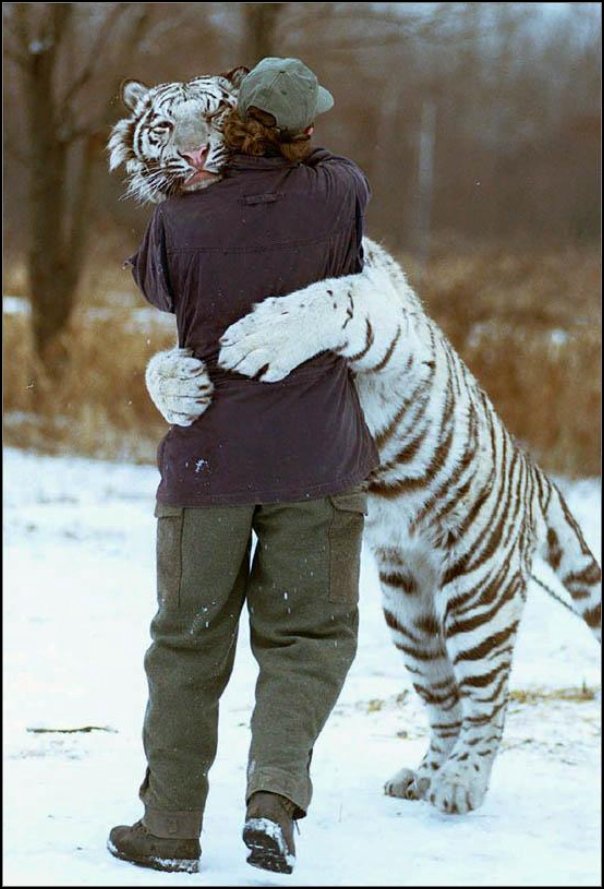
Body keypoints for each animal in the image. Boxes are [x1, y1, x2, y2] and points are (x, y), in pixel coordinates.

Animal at [108, 74, 600, 812]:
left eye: (217, 113)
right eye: (164, 126)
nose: (193, 156)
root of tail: (538, 478)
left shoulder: (384, 316)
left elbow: (331, 299)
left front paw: (259, 338)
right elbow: (155, 363)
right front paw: (182, 386)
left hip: (476, 594)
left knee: (488, 701)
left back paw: (461, 782)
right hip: (409, 605)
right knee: (445, 700)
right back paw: (424, 773)